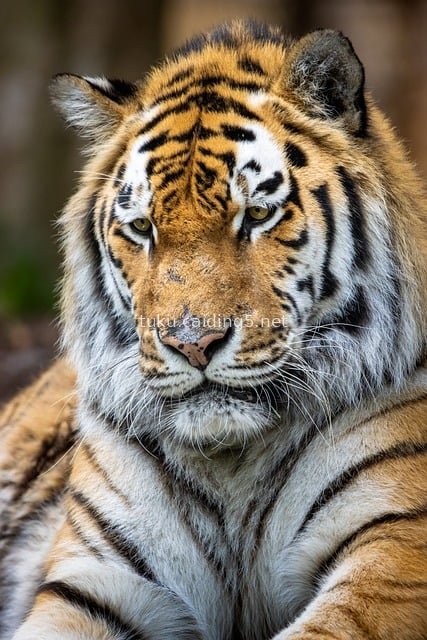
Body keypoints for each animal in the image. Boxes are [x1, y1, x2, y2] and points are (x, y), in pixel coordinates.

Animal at [1, 19, 426, 640]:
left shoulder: (394, 556)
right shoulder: (101, 579)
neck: (234, 467)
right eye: (142, 228)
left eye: (257, 215)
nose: (192, 343)